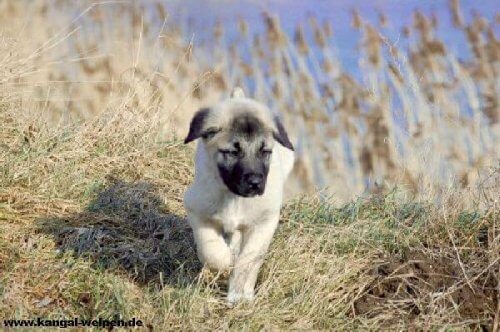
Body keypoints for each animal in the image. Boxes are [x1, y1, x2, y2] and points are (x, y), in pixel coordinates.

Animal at [183, 87, 292, 304]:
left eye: (265, 151)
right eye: (233, 152)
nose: (255, 183)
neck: (234, 199)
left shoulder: (264, 222)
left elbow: (248, 260)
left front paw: (239, 295)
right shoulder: (197, 210)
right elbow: (211, 250)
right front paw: (225, 262)